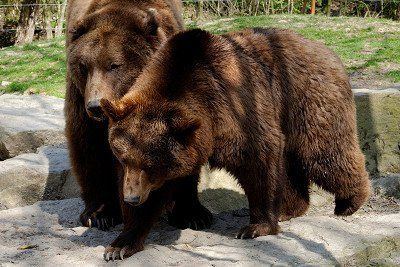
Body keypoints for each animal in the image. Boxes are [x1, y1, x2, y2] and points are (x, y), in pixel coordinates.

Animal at [65, 0, 212, 232]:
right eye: (83, 66)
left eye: (114, 65)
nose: (95, 106)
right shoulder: (80, 99)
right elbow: (90, 146)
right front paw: (100, 214)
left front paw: (192, 214)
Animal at [101, 28, 372, 260]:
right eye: (123, 157)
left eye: (151, 164)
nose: (131, 197)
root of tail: (325, 50)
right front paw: (120, 245)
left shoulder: (238, 109)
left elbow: (260, 161)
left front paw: (256, 226)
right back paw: (290, 208)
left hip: (307, 101)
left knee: (325, 153)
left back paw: (349, 202)